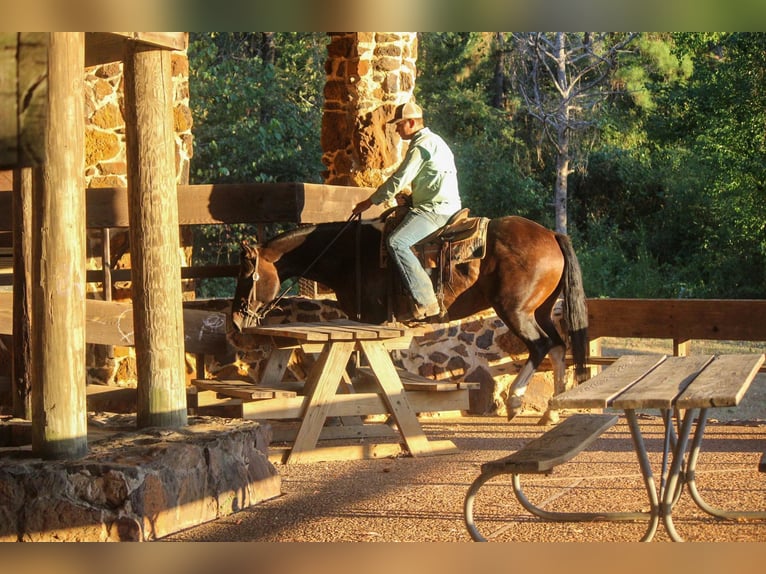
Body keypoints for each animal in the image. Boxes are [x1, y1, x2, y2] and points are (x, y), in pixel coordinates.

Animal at [231, 216, 592, 424]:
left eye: (246, 275)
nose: (235, 319)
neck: (349, 253)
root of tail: (551, 235)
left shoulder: (374, 318)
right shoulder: (367, 321)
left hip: (515, 310)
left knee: (541, 346)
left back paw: (516, 401)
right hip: (539, 310)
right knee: (557, 347)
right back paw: (552, 411)